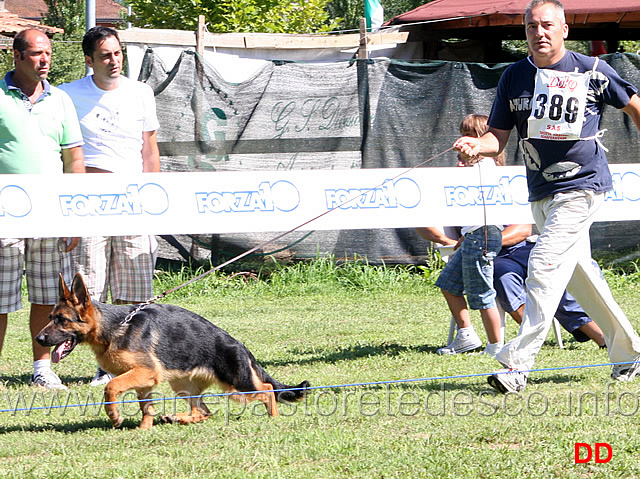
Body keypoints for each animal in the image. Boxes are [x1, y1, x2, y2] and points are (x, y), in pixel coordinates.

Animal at [35, 274, 310, 432]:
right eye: (50, 318)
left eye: (62, 320)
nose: (39, 339)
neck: (115, 326)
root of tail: (240, 345)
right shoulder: (144, 380)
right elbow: (146, 407)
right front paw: (144, 430)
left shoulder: (145, 373)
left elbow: (110, 388)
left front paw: (115, 417)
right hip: (184, 386)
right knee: (204, 412)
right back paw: (178, 419)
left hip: (238, 385)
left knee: (267, 389)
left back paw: (273, 417)